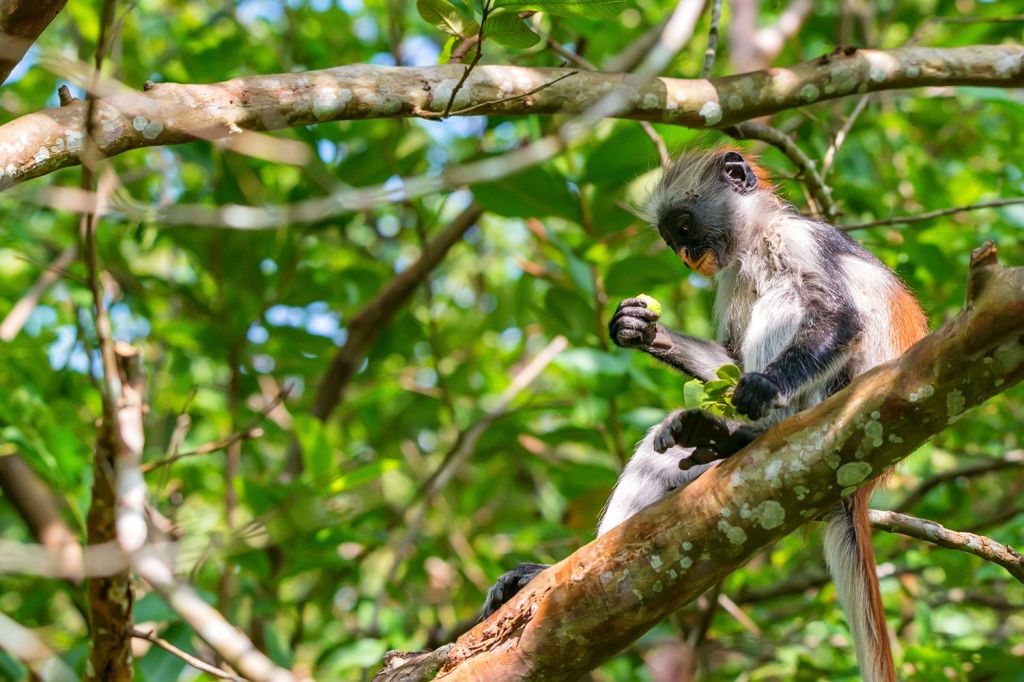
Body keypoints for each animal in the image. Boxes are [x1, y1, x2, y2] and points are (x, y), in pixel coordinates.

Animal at [481, 146, 929, 675]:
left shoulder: (800, 239)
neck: (755, 242)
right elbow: (728, 363)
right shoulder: (733, 273)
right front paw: (641, 329)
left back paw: (751, 431)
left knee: (788, 295)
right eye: (672, 239)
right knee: (659, 457)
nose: (686, 255)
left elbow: (839, 318)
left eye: (684, 226)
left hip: (832, 400)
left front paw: (765, 386)